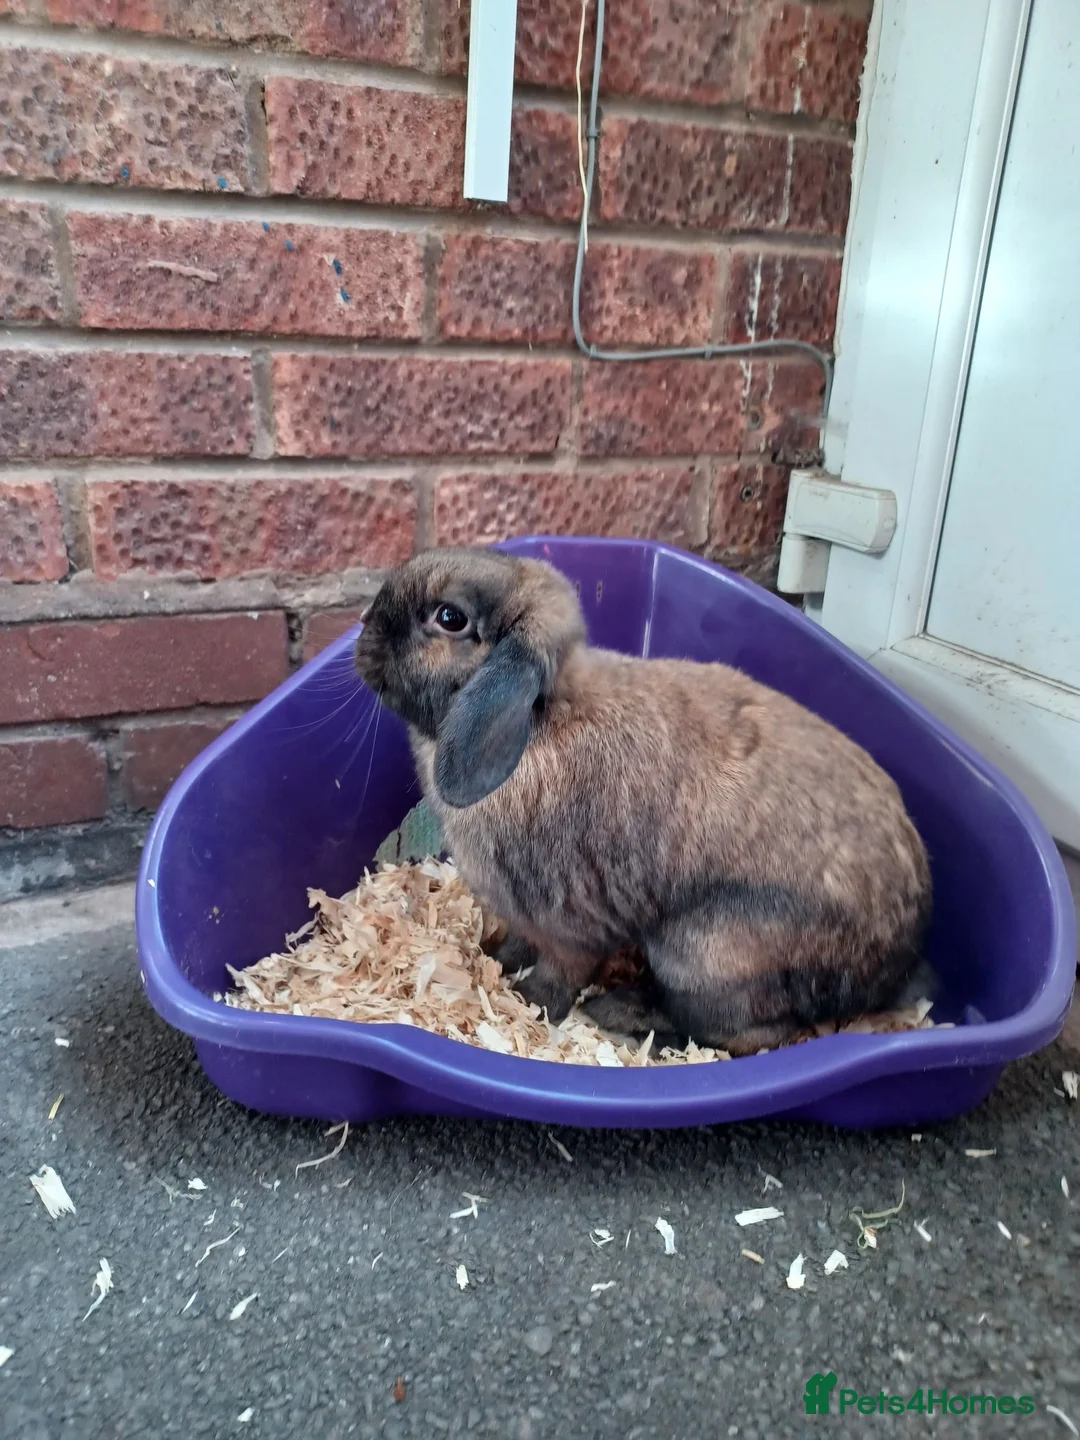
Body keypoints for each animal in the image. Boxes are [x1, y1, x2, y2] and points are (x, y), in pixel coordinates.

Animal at [353, 547, 933, 1057]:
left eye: (448, 617)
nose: (363, 628)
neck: (542, 719)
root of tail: (895, 966)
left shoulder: (569, 922)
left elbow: (561, 970)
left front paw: (528, 1001)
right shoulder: (522, 914)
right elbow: (519, 943)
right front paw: (495, 958)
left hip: (702, 956)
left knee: (754, 1035)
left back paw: (625, 1018)